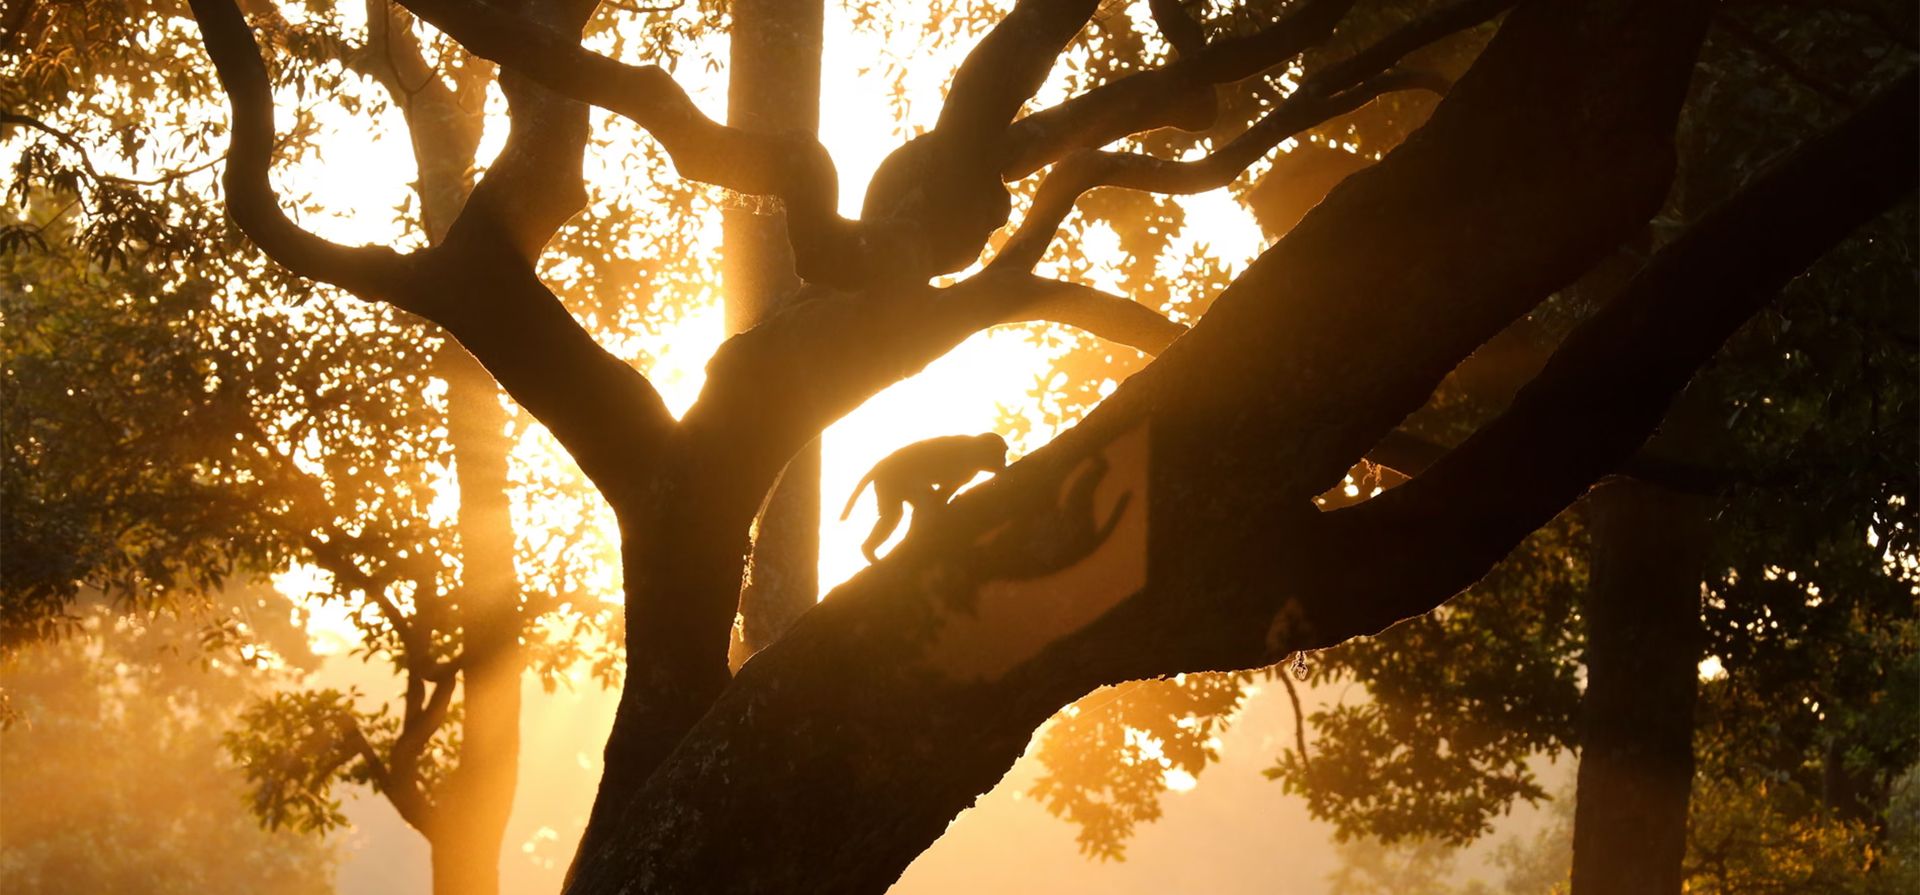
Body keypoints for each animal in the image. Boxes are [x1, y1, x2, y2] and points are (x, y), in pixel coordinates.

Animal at [841, 432, 1009, 563]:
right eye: (1001, 453)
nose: (1004, 461)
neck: (974, 451)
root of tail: (881, 465)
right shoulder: (964, 463)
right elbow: (945, 487)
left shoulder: (968, 470)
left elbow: (946, 490)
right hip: (892, 478)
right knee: (911, 504)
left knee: (893, 513)